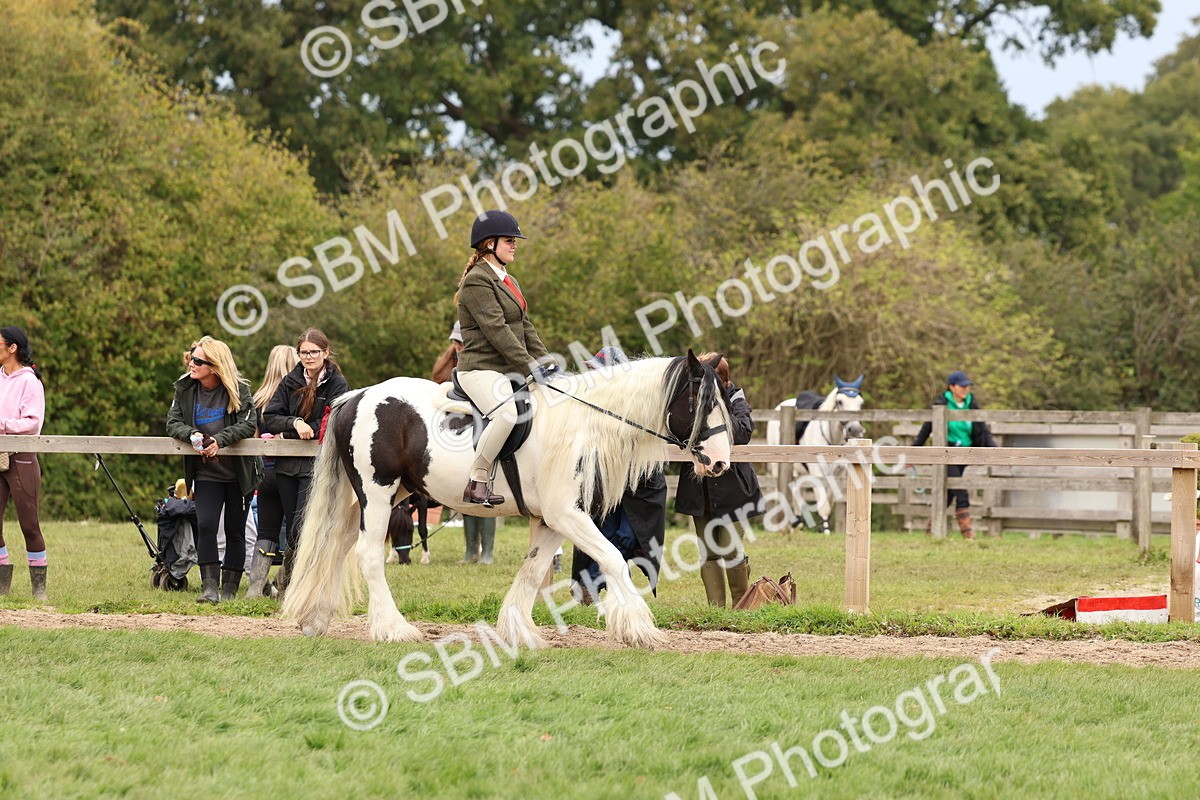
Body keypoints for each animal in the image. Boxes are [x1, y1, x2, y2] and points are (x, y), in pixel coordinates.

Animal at [281, 351, 734, 648]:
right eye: (700, 402)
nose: (720, 462)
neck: (583, 425)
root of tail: (355, 397)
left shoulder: (552, 520)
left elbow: (533, 572)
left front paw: (519, 631)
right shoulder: (567, 515)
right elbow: (613, 560)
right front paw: (639, 628)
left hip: (383, 496)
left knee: (335, 546)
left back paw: (315, 618)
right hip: (376, 494)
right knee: (369, 555)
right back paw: (393, 628)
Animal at [766, 375, 866, 533]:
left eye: (861, 403)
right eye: (840, 402)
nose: (855, 430)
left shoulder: (837, 474)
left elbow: (829, 499)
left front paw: (824, 523)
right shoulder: (817, 472)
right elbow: (822, 500)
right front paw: (824, 528)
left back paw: (798, 521)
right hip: (779, 465)